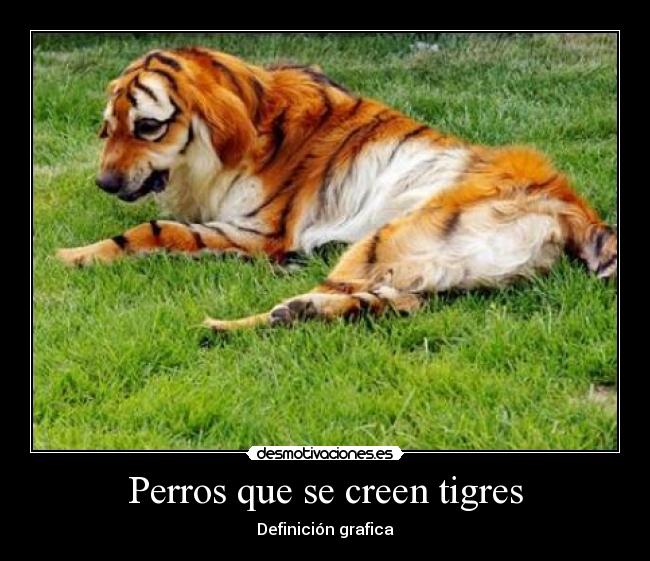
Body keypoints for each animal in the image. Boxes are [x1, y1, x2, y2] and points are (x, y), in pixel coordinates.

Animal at [56, 47, 617, 331]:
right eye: (107, 128)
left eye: (148, 127)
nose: (104, 182)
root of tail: (574, 209)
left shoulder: (261, 233)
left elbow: (151, 229)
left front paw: (71, 256)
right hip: (424, 261)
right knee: (398, 305)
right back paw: (296, 311)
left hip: (383, 239)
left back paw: (223, 324)